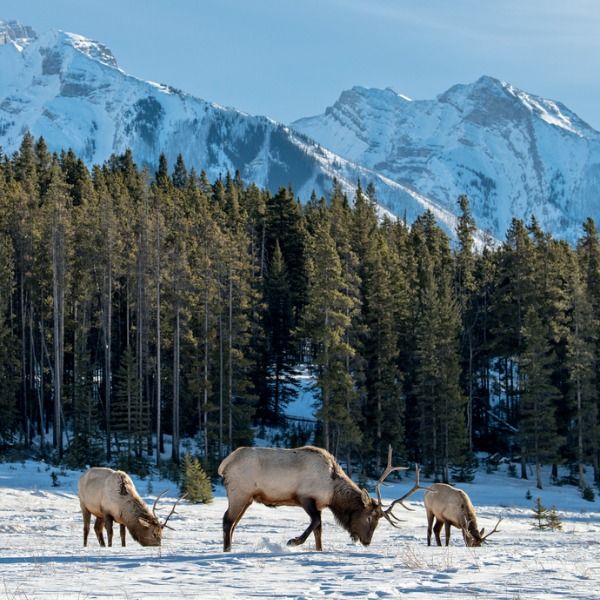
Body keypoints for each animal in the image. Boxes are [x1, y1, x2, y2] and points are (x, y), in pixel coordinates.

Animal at [218, 442, 424, 552]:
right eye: (369, 517)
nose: (367, 542)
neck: (333, 492)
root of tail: (225, 464)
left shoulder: (317, 504)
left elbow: (319, 529)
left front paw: (319, 549)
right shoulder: (306, 497)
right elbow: (316, 522)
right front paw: (294, 541)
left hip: (247, 498)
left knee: (233, 523)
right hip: (240, 493)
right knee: (227, 520)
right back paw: (227, 550)